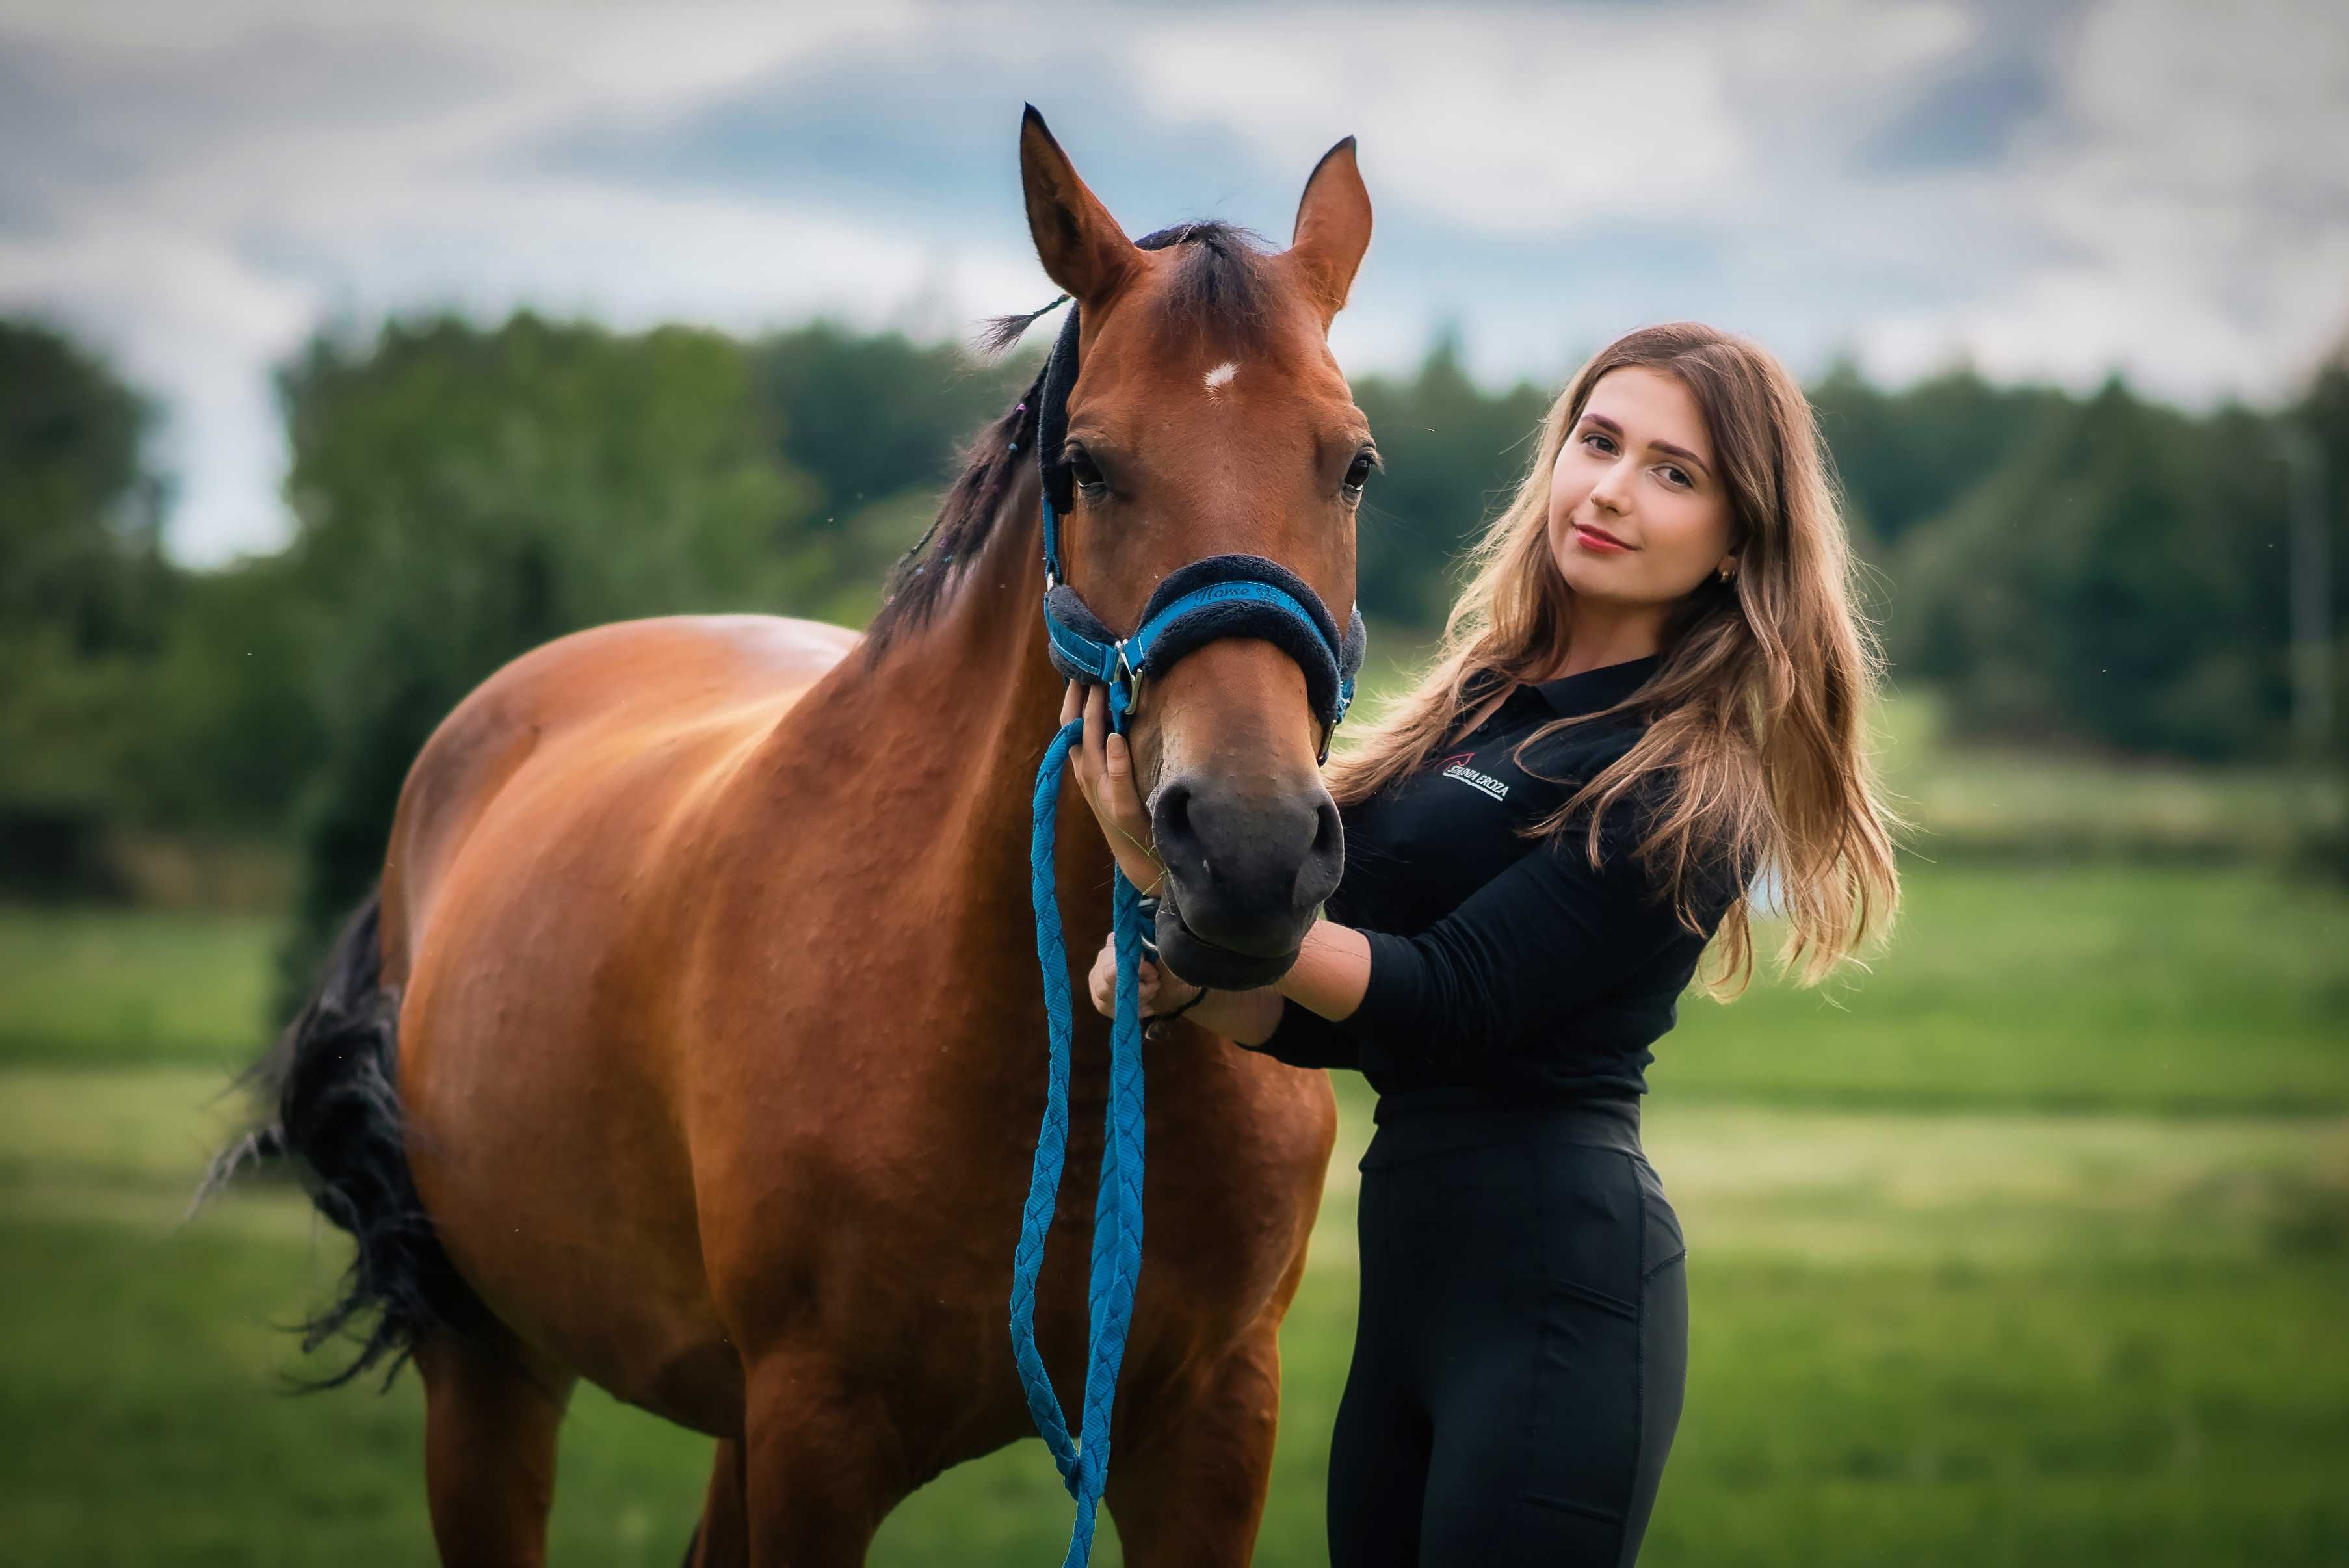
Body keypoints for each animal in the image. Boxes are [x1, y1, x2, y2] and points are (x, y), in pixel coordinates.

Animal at [236, 113, 1371, 1568]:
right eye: (1087, 467)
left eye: (1353, 464)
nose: (1247, 846)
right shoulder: (817, 1435)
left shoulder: (1212, 1431)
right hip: (489, 1370)